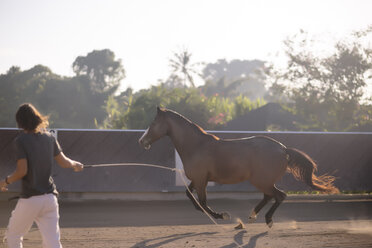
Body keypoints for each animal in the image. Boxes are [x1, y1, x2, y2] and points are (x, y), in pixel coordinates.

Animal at [138, 107, 338, 228]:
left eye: (153, 123)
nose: (142, 141)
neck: (197, 146)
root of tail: (283, 149)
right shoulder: (198, 179)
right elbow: (191, 196)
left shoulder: (201, 180)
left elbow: (202, 202)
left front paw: (221, 215)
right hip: (263, 181)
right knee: (269, 196)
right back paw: (252, 216)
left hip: (261, 181)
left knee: (279, 196)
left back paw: (268, 220)